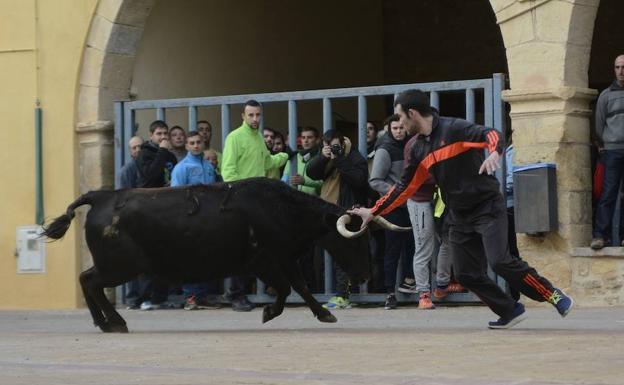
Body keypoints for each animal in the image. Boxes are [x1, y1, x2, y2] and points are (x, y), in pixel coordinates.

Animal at [42, 177, 370, 330]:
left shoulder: (284, 258)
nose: (367, 275)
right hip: (119, 266)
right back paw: (113, 322)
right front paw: (271, 312)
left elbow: (299, 286)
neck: (281, 208)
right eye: (354, 241)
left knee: (88, 281)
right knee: (89, 281)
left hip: (116, 266)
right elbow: (288, 288)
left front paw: (323, 313)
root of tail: (100, 196)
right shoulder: (264, 262)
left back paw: (107, 322)